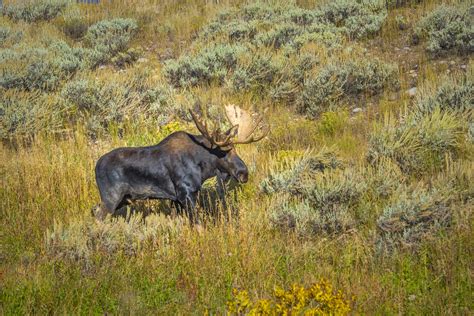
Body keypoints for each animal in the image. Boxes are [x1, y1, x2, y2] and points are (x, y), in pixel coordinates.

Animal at [94, 104, 268, 222]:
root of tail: (95, 166)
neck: (202, 167)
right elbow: (197, 224)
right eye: (223, 152)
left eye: (235, 150)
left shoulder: (176, 199)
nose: (244, 173)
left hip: (121, 199)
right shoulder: (186, 193)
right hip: (111, 198)